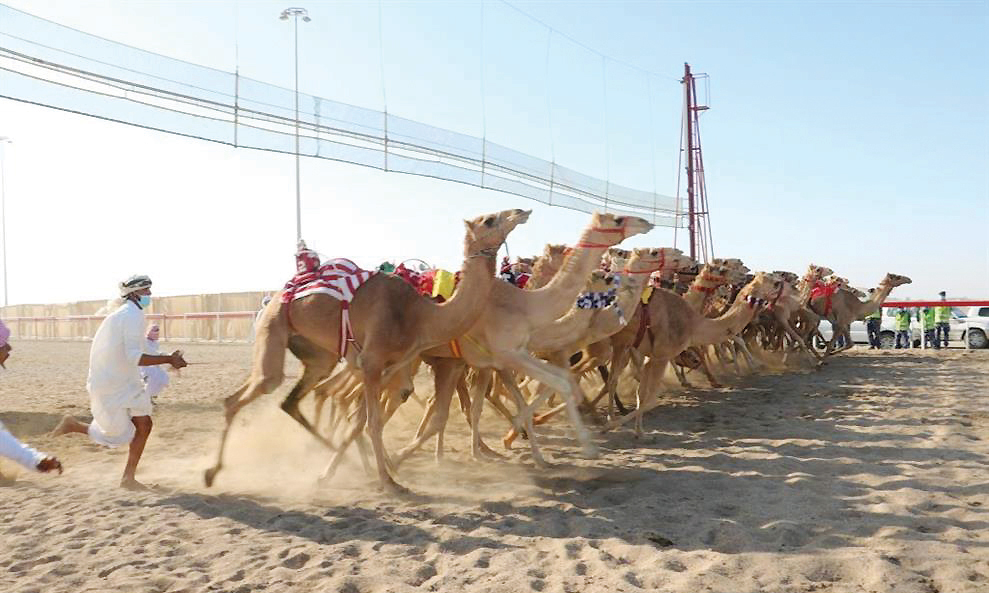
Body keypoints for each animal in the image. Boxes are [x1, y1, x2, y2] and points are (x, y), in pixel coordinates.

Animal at [204, 208, 531, 492]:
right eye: (489, 220)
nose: (521, 211)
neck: (421, 314)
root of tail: (274, 296)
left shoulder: (391, 366)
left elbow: (362, 420)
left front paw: (352, 471)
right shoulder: (375, 361)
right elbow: (372, 422)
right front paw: (388, 481)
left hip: (321, 357)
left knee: (293, 401)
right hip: (273, 328)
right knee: (247, 394)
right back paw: (212, 472)